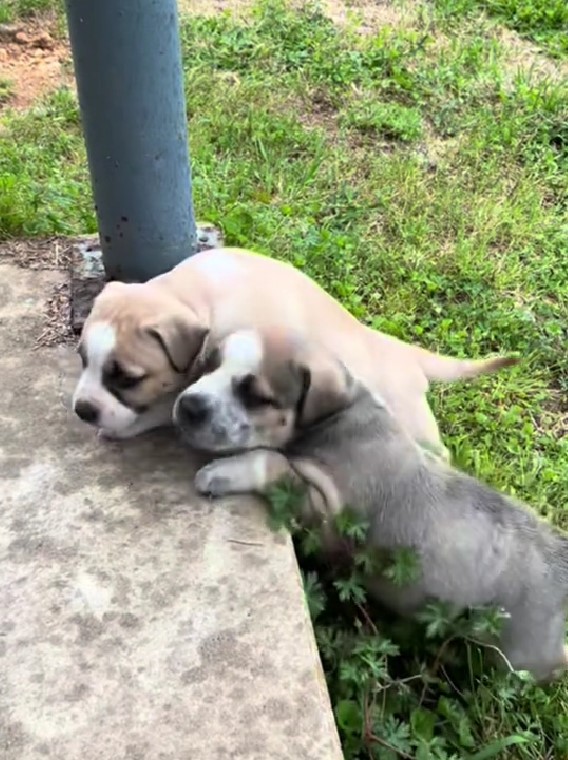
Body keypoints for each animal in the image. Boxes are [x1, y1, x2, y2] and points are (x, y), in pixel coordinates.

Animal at [73, 246, 516, 454]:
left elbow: (166, 404)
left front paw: (123, 425)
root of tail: (407, 354)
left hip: (412, 420)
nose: (83, 410)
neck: (189, 292)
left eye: (128, 379)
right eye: (82, 360)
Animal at [183, 326, 568, 684]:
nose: (189, 404)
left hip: (518, 653)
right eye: (210, 363)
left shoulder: (325, 514)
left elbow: (271, 460)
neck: (341, 413)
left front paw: (223, 471)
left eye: (256, 397)